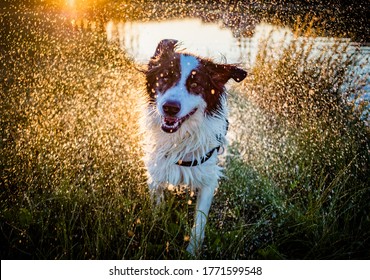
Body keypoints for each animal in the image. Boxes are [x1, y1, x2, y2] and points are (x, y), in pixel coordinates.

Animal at [142, 39, 249, 256]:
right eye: (165, 77)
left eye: (195, 85)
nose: (170, 108)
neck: (180, 137)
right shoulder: (157, 170)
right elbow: (157, 207)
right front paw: (157, 229)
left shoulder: (208, 177)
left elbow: (199, 222)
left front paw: (191, 252)